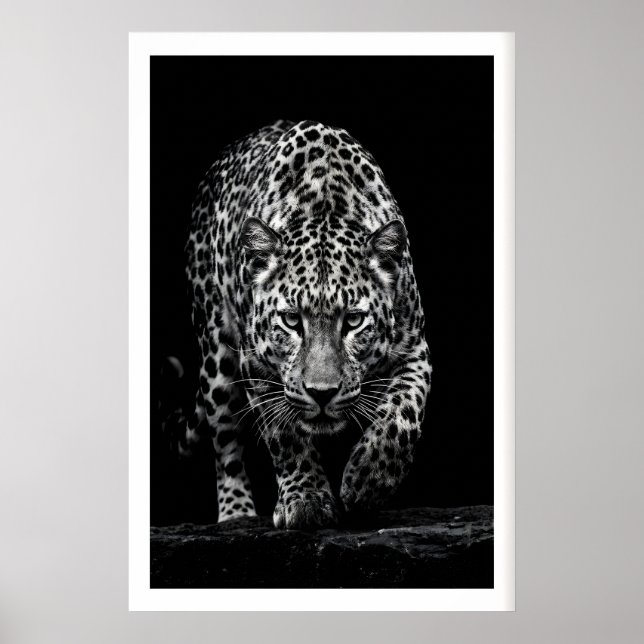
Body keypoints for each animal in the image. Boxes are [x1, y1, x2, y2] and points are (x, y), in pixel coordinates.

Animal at [179, 119, 432, 530]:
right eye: (291, 320)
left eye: (354, 321)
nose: (322, 393)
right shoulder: (256, 362)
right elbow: (284, 436)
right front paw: (307, 500)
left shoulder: (415, 348)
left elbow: (403, 412)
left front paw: (367, 479)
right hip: (214, 352)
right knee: (225, 439)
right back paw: (236, 513)